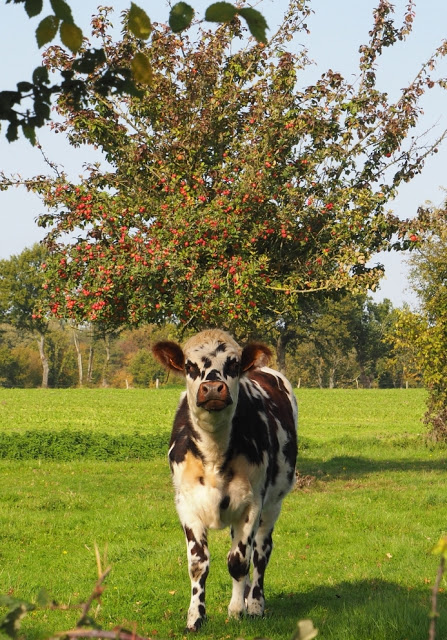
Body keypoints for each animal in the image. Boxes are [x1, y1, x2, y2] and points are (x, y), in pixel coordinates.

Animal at [153, 330, 298, 632]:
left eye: (234, 363)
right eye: (189, 365)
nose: (212, 388)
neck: (214, 455)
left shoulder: (252, 503)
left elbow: (239, 562)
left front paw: (238, 609)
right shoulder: (186, 504)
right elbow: (198, 564)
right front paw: (195, 617)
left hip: (273, 504)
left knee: (260, 552)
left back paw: (253, 604)